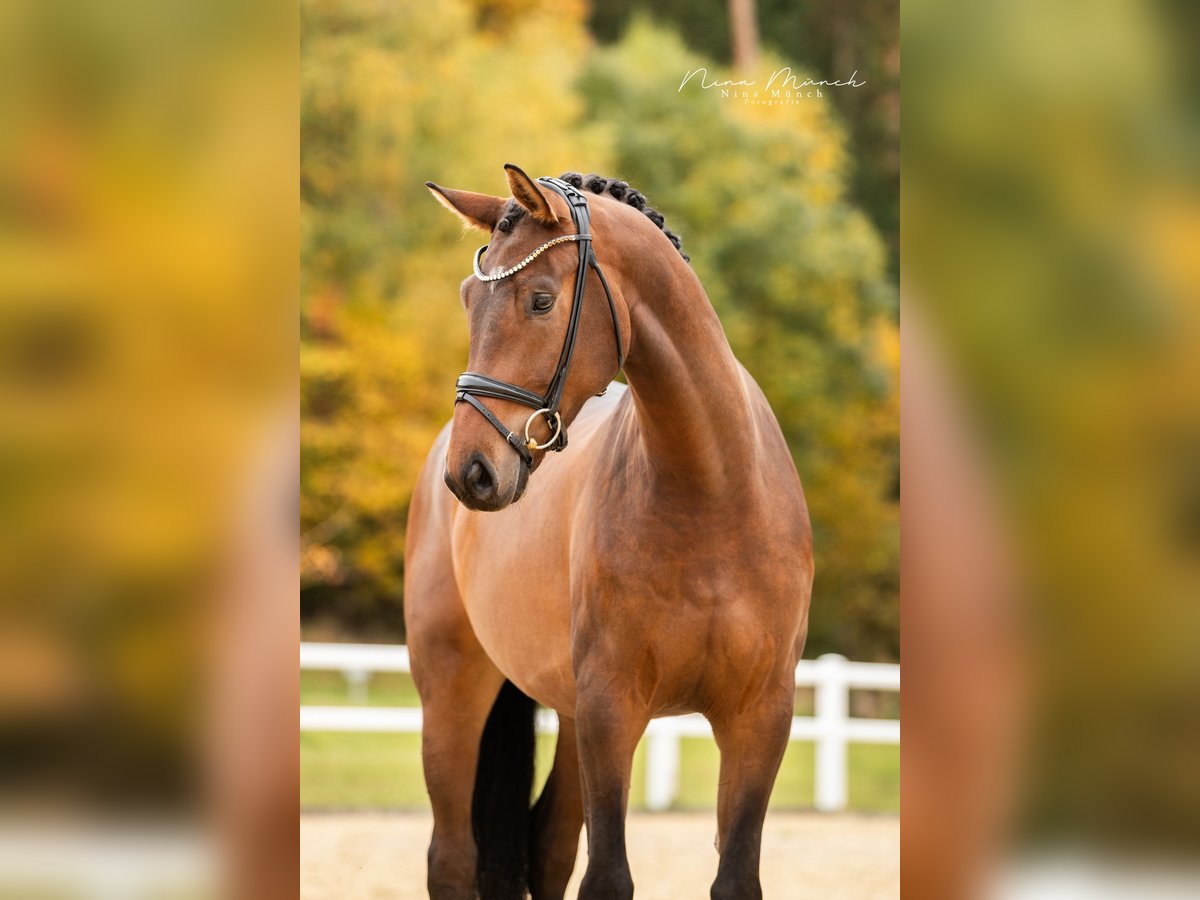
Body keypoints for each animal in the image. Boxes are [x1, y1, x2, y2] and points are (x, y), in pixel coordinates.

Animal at [404, 164, 813, 900]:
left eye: (540, 300)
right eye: (467, 300)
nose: (471, 472)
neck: (710, 493)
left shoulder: (760, 718)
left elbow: (734, 876)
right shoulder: (610, 710)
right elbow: (608, 878)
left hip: (566, 715)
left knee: (548, 844)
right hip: (453, 693)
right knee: (451, 859)